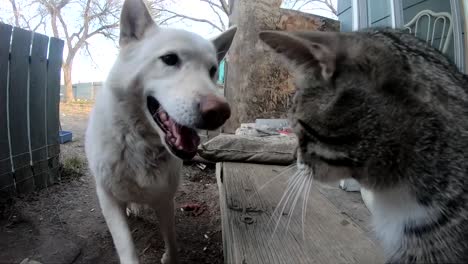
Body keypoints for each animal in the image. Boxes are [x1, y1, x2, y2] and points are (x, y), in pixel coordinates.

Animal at [84, 1, 236, 262]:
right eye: (169, 59)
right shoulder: (109, 200)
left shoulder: (165, 199)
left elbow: (171, 240)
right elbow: (126, 247)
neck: (140, 144)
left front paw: (169, 257)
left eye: (212, 70)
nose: (220, 112)